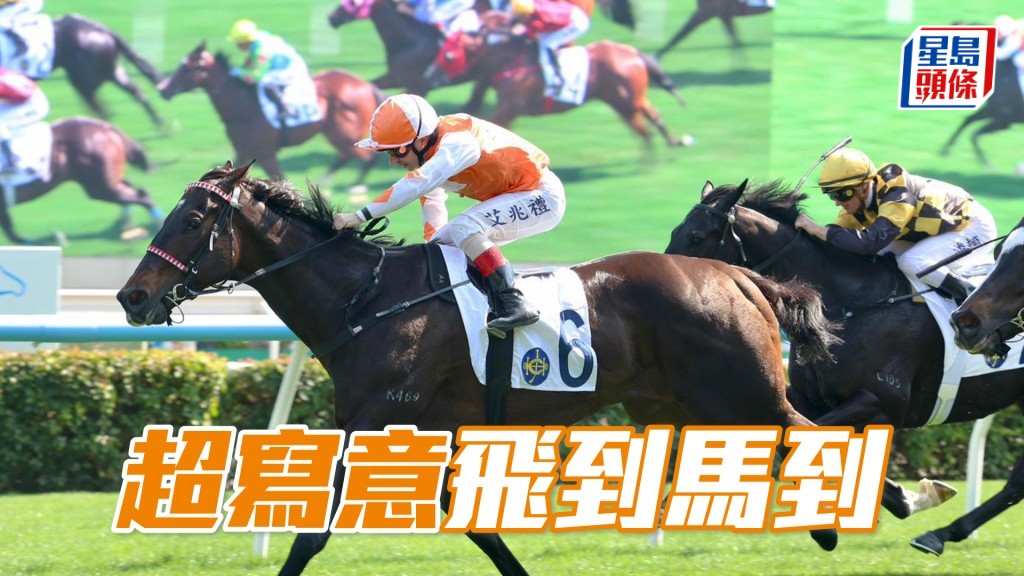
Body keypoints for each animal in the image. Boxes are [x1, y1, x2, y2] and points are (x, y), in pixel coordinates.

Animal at [0, 117, 159, 245]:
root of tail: (105, 128)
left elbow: (10, 232)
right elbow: (10, 230)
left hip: (100, 187)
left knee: (141, 194)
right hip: (107, 182)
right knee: (131, 189)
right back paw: (127, 225)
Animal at [117, 161, 843, 574]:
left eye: (193, 220)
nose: (132, 297)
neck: (369, 299)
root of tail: (737, 274)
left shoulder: (376, 421)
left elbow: (312, 535)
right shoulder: (428, 432)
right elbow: (479, 527)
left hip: (739, 393)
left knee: (808, 434)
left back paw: (844, 519)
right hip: (681, 405)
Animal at [155, 42, 381, 189]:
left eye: (188, 67)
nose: (162, 89)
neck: (242, 106)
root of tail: (366, 85)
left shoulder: (265, 153)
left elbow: (281, 179)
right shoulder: (242, 151)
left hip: (342, 134)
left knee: (365, 158)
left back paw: (355, 187)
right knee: (350, 157)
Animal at [426, 30, 689, 147]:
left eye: (448, 56)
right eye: (441, 50)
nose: (429, 75)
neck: (509, 60)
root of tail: (633, 53)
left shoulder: (511, 106)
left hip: (625, 100)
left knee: (645, 123)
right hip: (628, 99)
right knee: (651, 116)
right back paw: (674, 142)